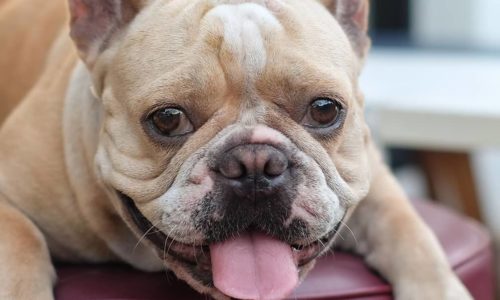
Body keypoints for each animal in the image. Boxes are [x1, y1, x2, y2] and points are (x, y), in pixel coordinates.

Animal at [0, 0, 472, 300]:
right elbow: (21, 243)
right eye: (167, 118)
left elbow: (412, 233)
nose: (254, 163)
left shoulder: (375, 186)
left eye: (325, 110)